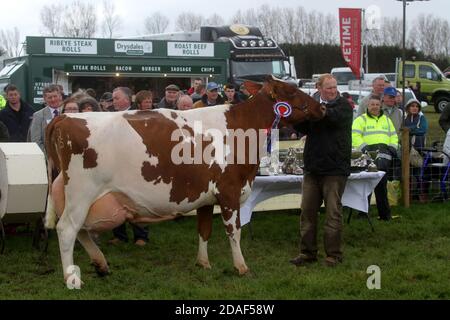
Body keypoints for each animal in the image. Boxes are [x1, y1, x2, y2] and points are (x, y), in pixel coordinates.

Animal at [44, 75, 324, 282]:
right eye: (291, 91)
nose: (321, 107)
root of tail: (65, 116)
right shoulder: (230, 191)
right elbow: (234, 231)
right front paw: (241, 266)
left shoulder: (207, 197)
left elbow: (204, 230)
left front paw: (203, 263)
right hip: (81, 192)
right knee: (67, 229)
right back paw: (71, 279)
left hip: (75, 195)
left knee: (81, 230)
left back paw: (101, 264)